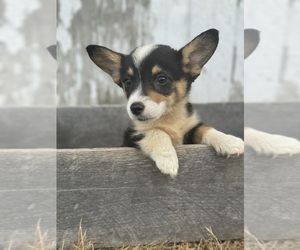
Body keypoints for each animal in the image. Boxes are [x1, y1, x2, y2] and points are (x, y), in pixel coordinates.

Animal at [86, 29, 244, 177]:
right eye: (128, 82)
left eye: (161, 79)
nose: (135, 108)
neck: (168, 116)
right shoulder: (134, 134)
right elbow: (156, 131)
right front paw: (168, 159)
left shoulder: (189, 129)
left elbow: (204, 128)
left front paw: (230, 141)